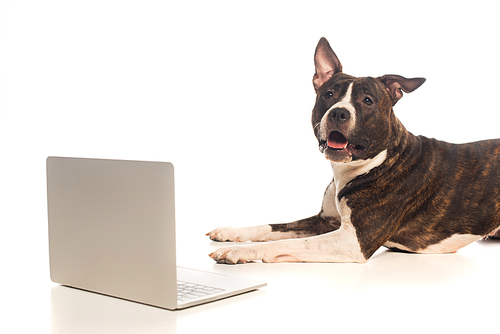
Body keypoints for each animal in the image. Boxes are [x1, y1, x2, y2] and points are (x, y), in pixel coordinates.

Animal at [205, 37, 498, 264]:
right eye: (329, 95)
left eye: (367, 100)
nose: (339, 113)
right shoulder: (325, 220)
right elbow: (271, 227)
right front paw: (232, 232)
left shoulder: (351, 240)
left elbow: (283, 244)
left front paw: (238, 251)